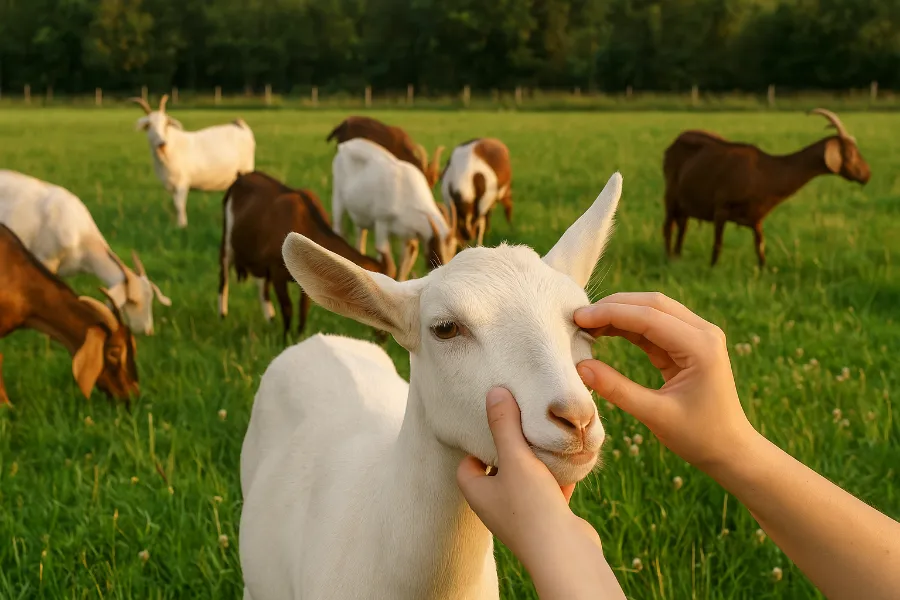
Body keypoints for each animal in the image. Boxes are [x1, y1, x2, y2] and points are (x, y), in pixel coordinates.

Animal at [131, 95, 256, 228]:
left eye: (166, 124)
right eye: (148, 125)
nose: (162, 143)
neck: (170, 149)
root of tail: (240, 126)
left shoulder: (182, 183)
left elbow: (179, 205)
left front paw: (182, 225)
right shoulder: (172, 185)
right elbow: (175, 205)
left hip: (246, 169)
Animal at [219, 171, 395, 339]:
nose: (384, 337)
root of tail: (242, 177)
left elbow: (303, 309)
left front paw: (299, 336)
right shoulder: (277, 272)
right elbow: (288, 308)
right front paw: (285, 339)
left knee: (261, 286)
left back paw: (270, 320)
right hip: (227, 240)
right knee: (224, 274)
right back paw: (223, 315)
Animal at [332, 138, 458, 281]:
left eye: (453, 250)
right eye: (436, 250)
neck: (406, 192)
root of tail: (345, 146)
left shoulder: (408, 236)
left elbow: (403, 266)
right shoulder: (381, 222)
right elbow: (388, 263)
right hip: (337, 196)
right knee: (338, 225)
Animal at [663, 108, 870, 267]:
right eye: (850, 153)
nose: (867, 174)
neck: (766, 172)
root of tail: (674, 142)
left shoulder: (757, 219)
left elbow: (760, 247)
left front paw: (764, 273)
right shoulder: (721, 208)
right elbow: (718, 244)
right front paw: (712, 269)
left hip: (684, 204)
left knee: (683, 225)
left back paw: (677, 256)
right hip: (671, 195)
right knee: (668, 226)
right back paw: (669, 258)